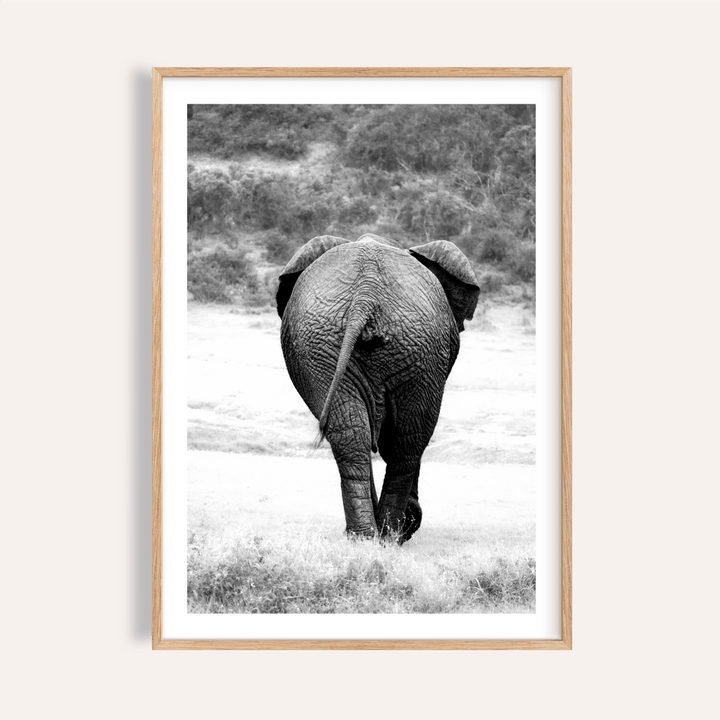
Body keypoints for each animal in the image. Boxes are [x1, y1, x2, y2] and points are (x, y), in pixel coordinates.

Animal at [276, 233, 480, 543]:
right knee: (407, 440)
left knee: (354, 434)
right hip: (412, 346)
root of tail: (366, 295)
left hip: (332, 344)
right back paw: (390, 536)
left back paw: (365, 537)